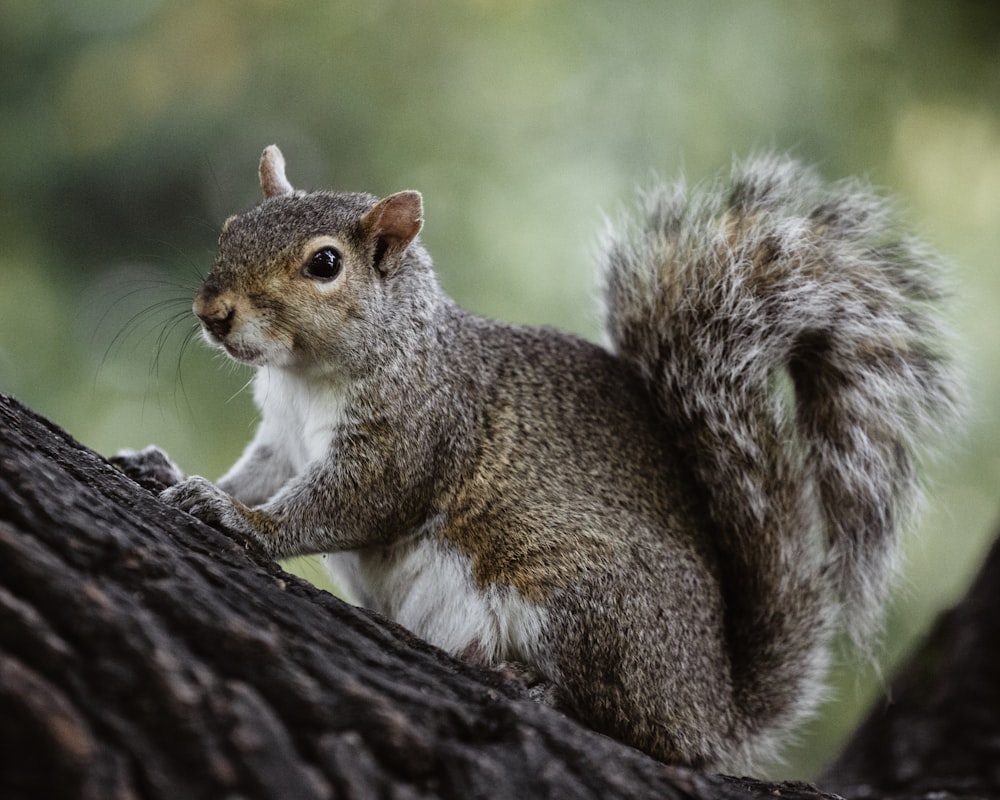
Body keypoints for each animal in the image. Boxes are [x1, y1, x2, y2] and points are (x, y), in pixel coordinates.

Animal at [115, 147, 960, 772]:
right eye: (231, 228)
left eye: (324, 265)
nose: (214, 313)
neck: (307, 378)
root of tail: (715, 707)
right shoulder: (282, 438)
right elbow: (257, 472)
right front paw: (172, 472)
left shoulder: (414, 436)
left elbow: (342, 506)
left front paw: (241, 520)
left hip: (589, 603)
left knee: (637, 728)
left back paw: (541, 690)